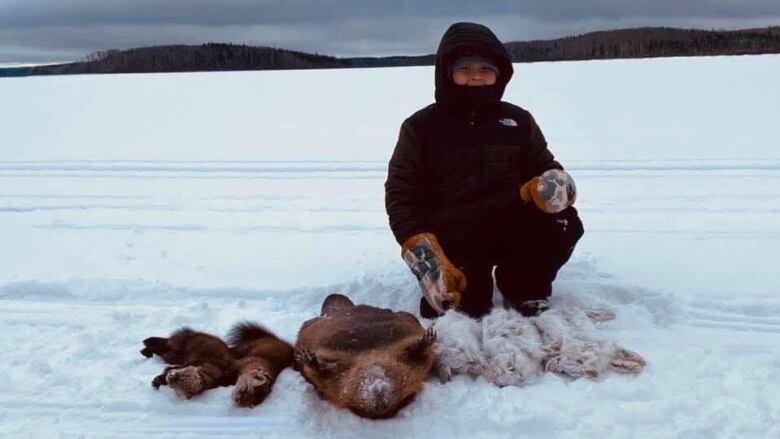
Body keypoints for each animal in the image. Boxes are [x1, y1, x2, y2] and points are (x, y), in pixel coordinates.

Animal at [140, 322, 292, 408]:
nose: (239, 401)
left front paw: (158, 380)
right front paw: (159, 379)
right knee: (166, 341)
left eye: (180, 382)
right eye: (246, 390)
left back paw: (146, 350)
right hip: (179, 346)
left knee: (165, 348)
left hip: (172, 353)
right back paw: (148, 342)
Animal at [294, 294, 436, 422]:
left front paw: (426, 339)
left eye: (401, 398)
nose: (381, 403)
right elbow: (323, 370)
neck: (370, 355)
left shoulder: (410, 363)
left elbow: (419, 356)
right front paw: (308, 357)